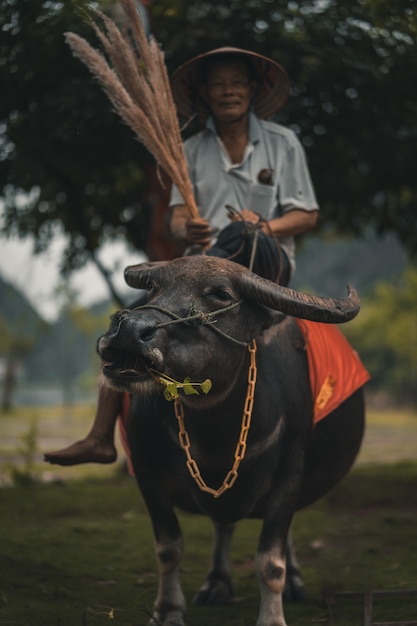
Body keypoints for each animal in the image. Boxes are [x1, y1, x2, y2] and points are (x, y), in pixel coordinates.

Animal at [97, 255, 364, 624]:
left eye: (221, 294)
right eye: (153, 287)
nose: (128, 330)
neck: (214, 435)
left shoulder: (289, 477)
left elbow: (271, 562)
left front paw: (272, 616)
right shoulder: (147, 474)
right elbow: (168, 549)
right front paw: (167, 610)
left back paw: (293, 583)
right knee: (222, 525)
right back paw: (217, 583)